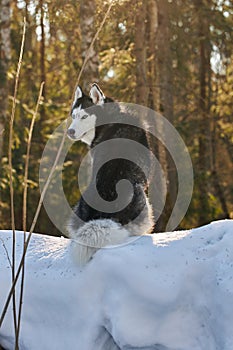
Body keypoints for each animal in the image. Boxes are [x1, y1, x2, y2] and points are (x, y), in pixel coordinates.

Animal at [66, 84, 153, 266]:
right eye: (74, 115)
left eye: (84, 116)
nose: (70, 131)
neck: (111, 119)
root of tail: (103, 217)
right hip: (143, 202)